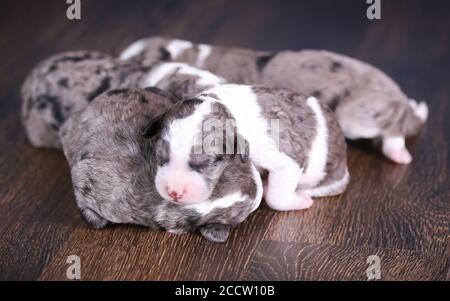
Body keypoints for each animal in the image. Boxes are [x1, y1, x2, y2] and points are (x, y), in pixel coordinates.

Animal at [144, 84, 348, 211]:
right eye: (160, 157)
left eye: (206, 164)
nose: (174, 192)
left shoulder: (285, 160)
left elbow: (276, 197)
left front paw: (297, 202)